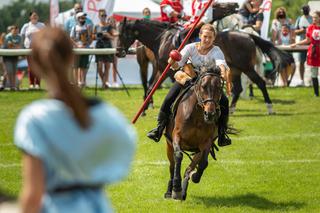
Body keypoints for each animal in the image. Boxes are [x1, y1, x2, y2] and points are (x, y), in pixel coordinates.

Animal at [164, 68, 221, 200]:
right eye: (203, 86)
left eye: (219, 87)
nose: (210, 114)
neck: (197, 116)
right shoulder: (176, 136)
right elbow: (178, 156)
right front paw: (176, 188)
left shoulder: (206, 142)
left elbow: (203, 163)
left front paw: (194, 176)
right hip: (169, 145)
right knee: (172, 166)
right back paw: (170, 191)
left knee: (190, 167)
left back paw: (184, 189)